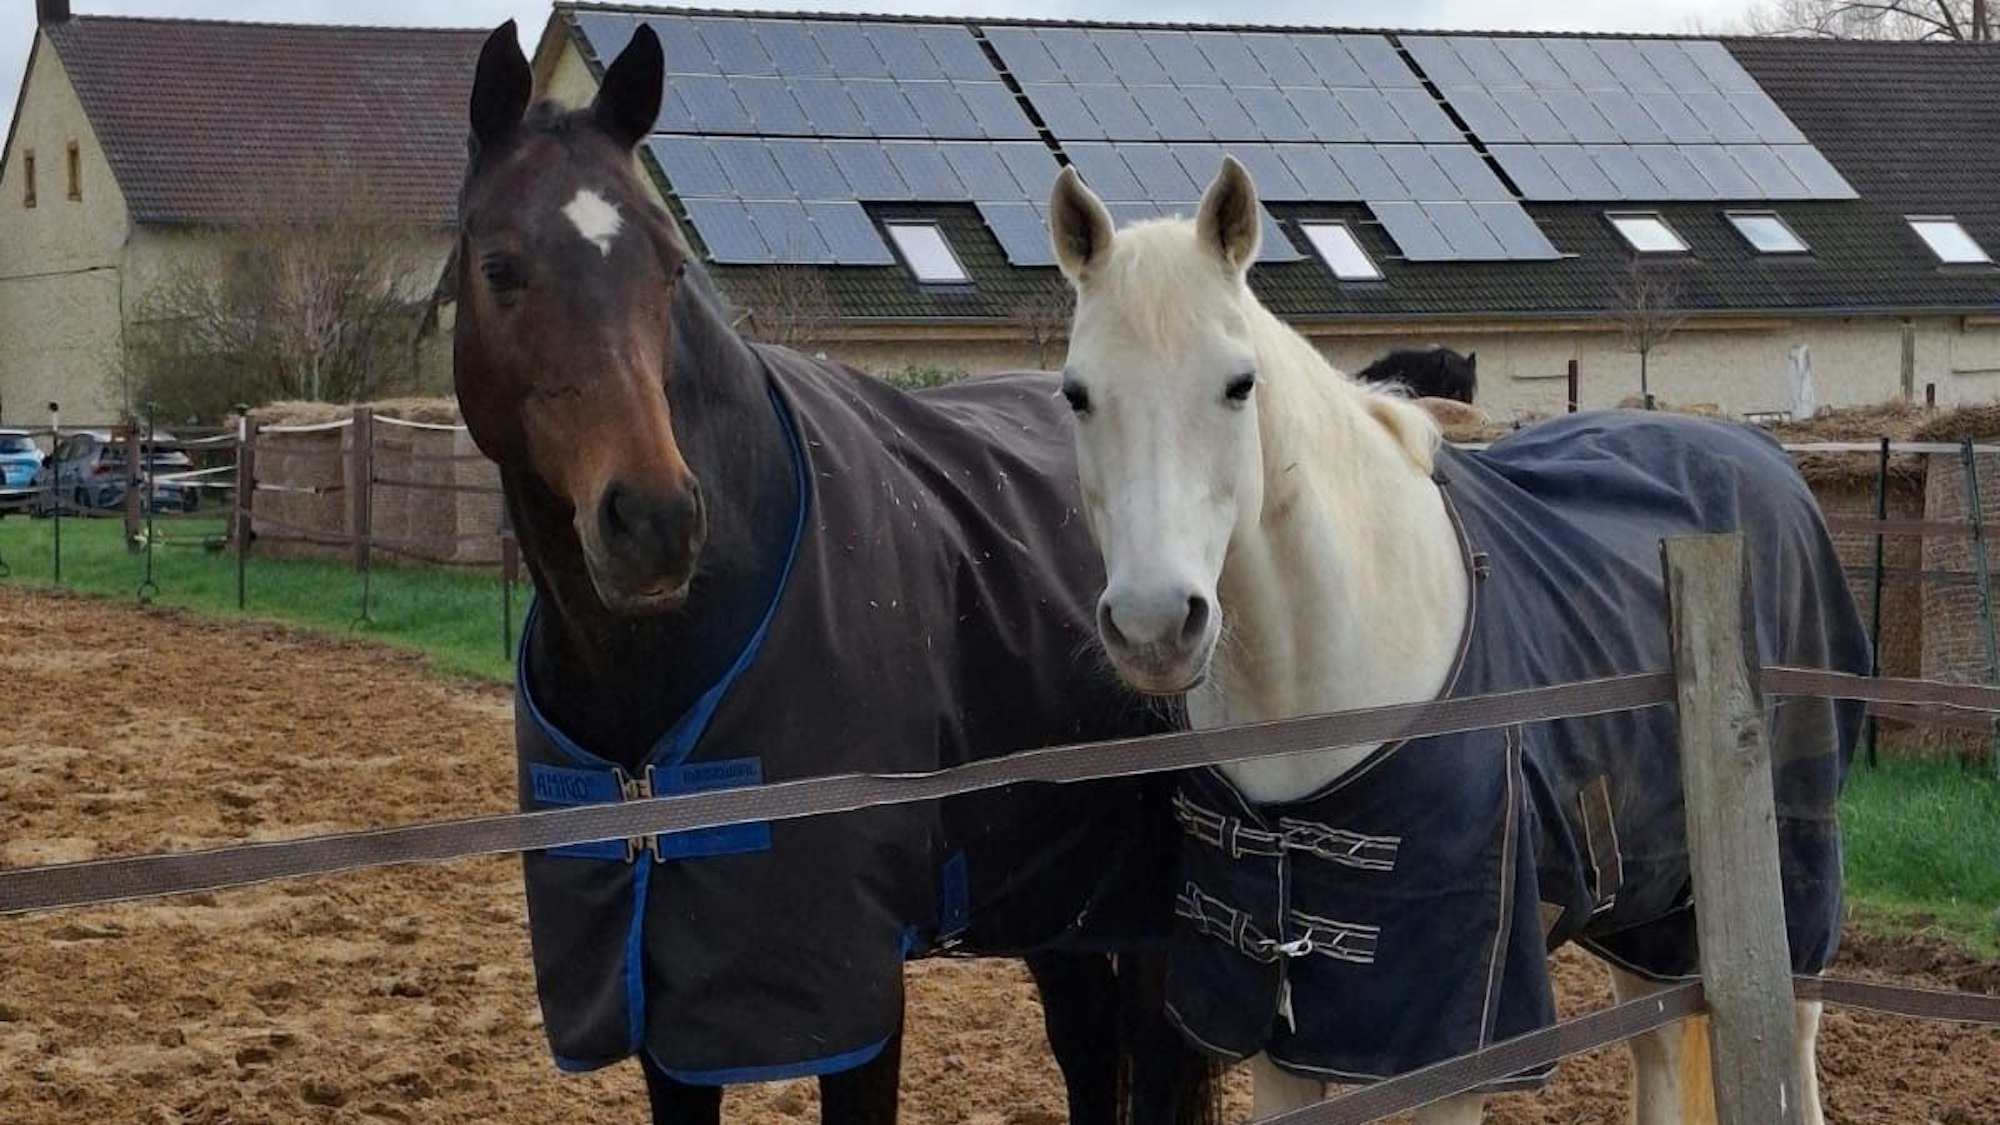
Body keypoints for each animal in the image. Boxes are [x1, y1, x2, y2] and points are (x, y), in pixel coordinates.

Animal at [453, 21, 1218, 1125]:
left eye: (669, 267)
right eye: (500, 265)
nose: (654, 520)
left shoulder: (854, 989)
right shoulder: (667, 1000)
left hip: (1152, 898)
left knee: (1148, 1063)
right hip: (1057, 895)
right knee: (1087, 1050)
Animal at [1045, 156, 1870, 1124]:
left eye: (1239, 383)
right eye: (1076, 393)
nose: (1152, 624)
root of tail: (1767, 460)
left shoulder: (1459, 1044)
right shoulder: (1275, 1026)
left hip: (1789, 884)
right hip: (1653, 906)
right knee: (1662, 1048)